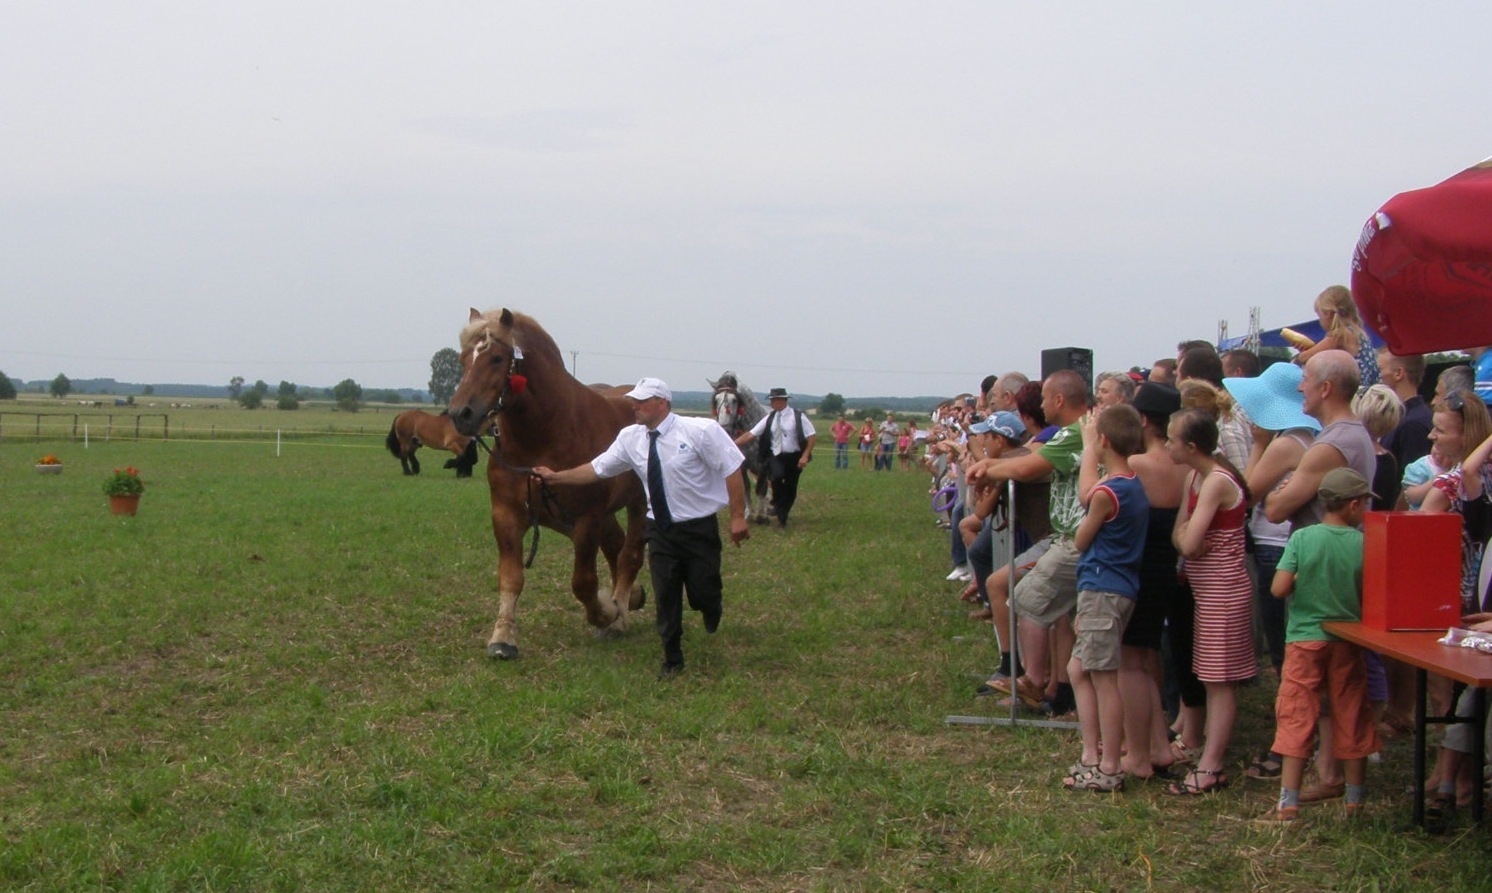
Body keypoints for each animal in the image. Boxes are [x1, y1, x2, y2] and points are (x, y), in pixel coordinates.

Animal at [447, 308, 647, 660]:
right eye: (463, 358)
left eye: (497, 358)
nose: (461, 414)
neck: (544, 438)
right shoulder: (507, 515)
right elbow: (511, 578)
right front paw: (503, 638)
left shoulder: (587, 519)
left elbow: (583, 582)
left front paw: (607, 613)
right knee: (616, 546)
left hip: (637, 505)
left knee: (629, 555)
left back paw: (621, 613)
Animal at [707, 372, 773, 523]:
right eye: (717, 399)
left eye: (734, 400)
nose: (725, 429)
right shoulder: (742, 465)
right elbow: (746, 488)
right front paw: (748, 514)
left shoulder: (762, 465)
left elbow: (760, 488)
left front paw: (760, 515)